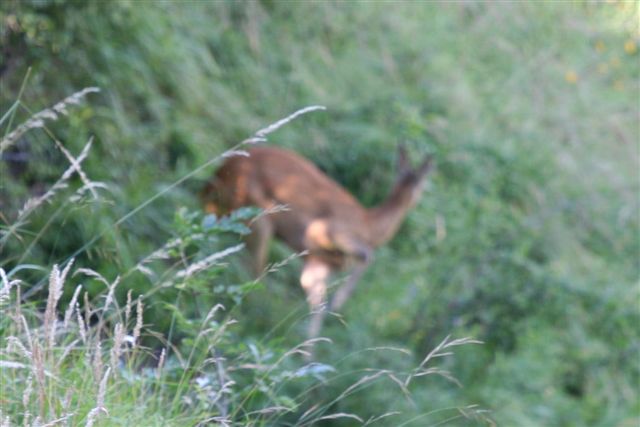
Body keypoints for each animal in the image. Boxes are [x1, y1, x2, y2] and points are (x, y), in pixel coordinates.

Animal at [202, 146, 432, 342]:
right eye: (424, 184)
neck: (370, 227)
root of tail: (216, 175)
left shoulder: (318, 261)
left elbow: (316, 302)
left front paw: (307, 353)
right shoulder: (321, 231)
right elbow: (367, 256)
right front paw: (339, 301)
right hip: (256, 216)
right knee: (251, 271)